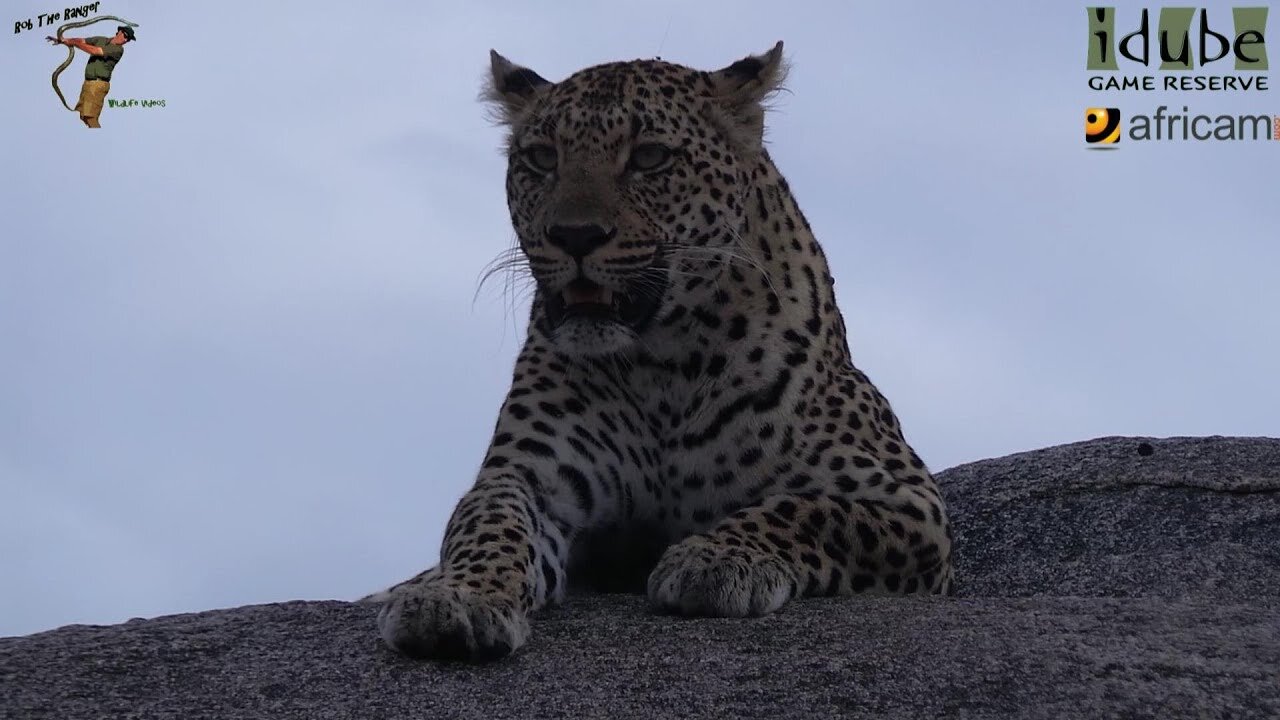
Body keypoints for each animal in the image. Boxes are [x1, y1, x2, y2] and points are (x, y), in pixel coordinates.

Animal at [368, 40, 952, 661]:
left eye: (649, 157)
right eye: (542, 159)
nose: (574, 236)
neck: (666, 365)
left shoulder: (909, 501)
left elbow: (809, 510)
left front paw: (716, 559)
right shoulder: (530, 476)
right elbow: (488, 521)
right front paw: (456, 596)